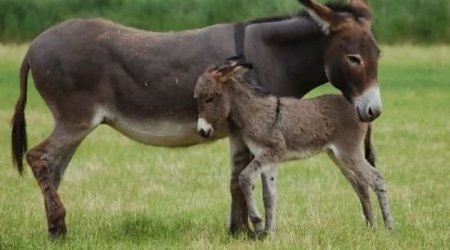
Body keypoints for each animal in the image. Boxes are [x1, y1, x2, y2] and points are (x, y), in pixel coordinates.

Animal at [194, 59, 394, 235]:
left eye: (210, 98)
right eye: (197, 99)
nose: (202, 131)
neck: (253, 113)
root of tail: (360, 112)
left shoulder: (272, 151)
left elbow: (244, 178)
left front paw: (258, 223)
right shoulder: (269, 160)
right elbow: (269, 196)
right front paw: (269, 233)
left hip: (349, 152)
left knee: (376, 179)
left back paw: (389, 228)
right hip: (338, 156)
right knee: (362, 185)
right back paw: (371, 226)